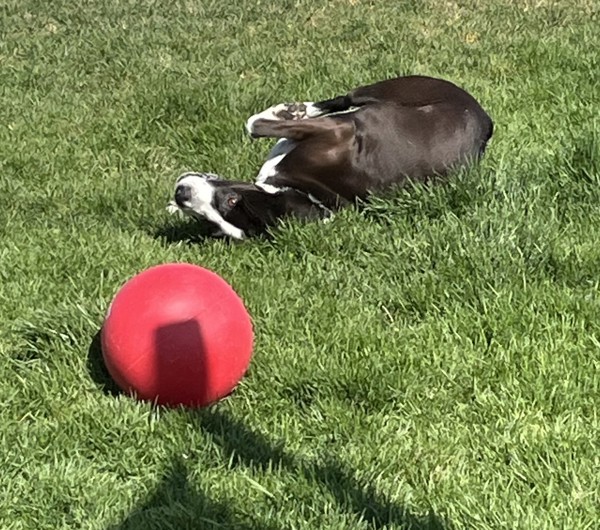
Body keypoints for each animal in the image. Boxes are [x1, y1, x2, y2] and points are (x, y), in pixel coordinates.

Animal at [168, 74, 492, 239]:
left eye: (232, 202)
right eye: (212, 226)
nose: (181, 194)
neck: (301, 190)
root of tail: (485, 123)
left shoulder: (338, 131)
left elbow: (254, 124)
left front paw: (285, 113)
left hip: (394, 86)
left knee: (345, 99)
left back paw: (296, 108)